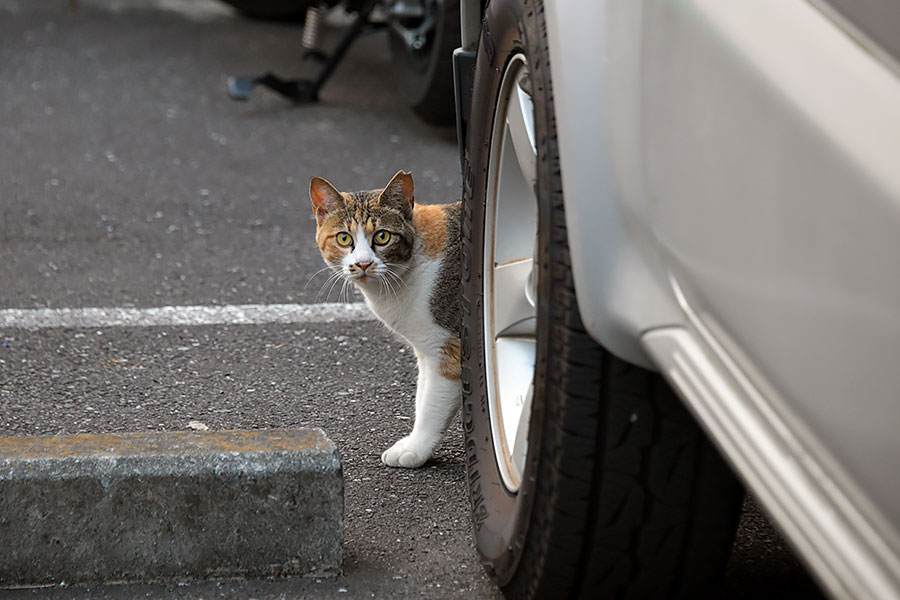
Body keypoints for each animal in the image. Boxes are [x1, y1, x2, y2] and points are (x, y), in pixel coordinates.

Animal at [312, 169, 464, 468]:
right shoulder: (427, 351)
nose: (363, 263)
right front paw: (413, 442)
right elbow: (422, 396)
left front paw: (416, 449)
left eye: (382, 237)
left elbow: (433, 405)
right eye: (344, 238)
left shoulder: (449, 349)